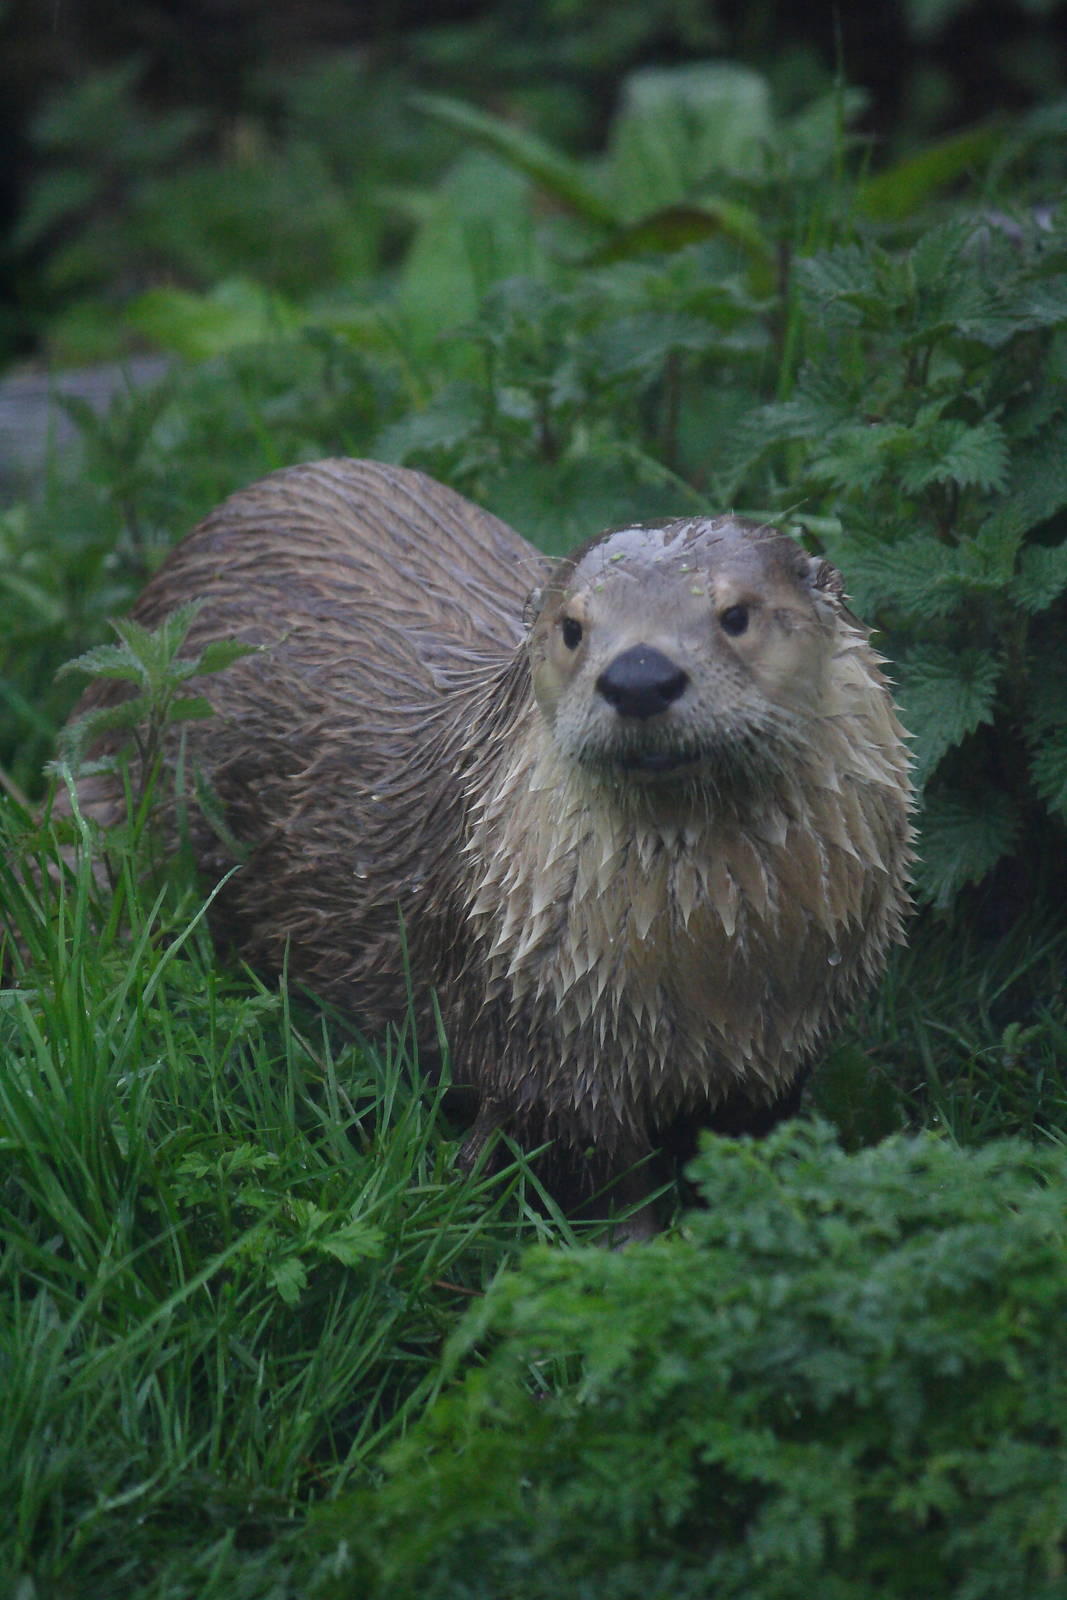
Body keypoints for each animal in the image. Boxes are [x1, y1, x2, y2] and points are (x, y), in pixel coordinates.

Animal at [62, 458, 913, 1221]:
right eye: (572, 628)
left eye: (735, 614)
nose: (638, 675)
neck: (713, 967)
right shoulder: (544, 1046)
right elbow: (601, 1184)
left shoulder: (783, 1044)